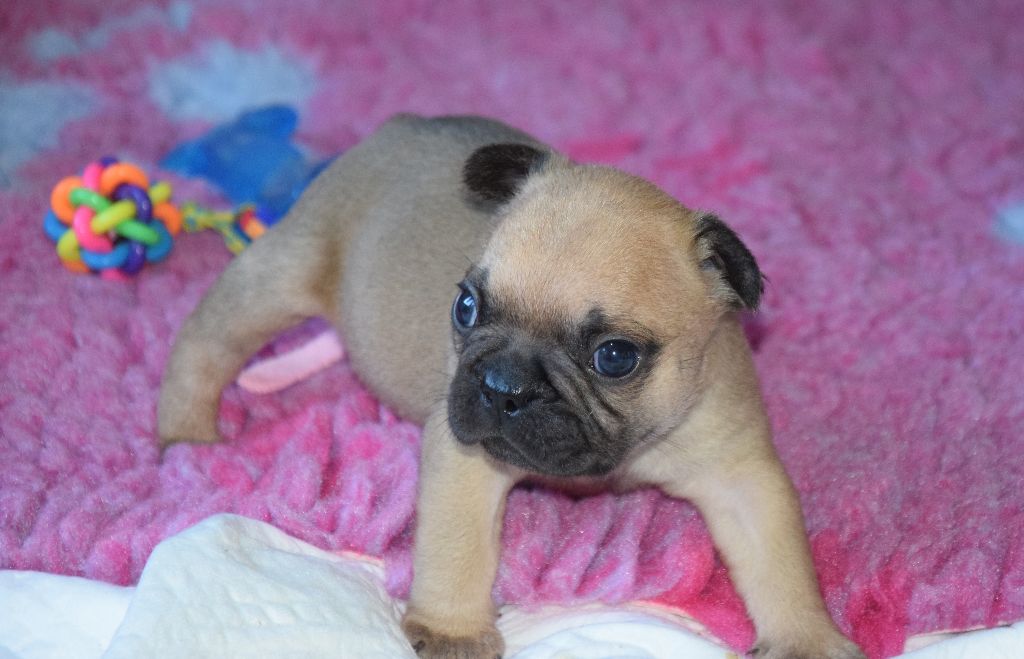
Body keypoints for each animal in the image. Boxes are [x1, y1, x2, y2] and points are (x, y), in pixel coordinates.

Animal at [158, 114, 865, 659]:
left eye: (614, 357)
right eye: (466, 308)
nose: (502, 386)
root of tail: (397, 128)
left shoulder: (741, 474)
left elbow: (780, 563)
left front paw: (807, 639)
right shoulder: (463, 456)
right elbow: (458, 546)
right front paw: (453, 631)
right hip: (281, 274)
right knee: (207, 340)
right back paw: (188, 434)